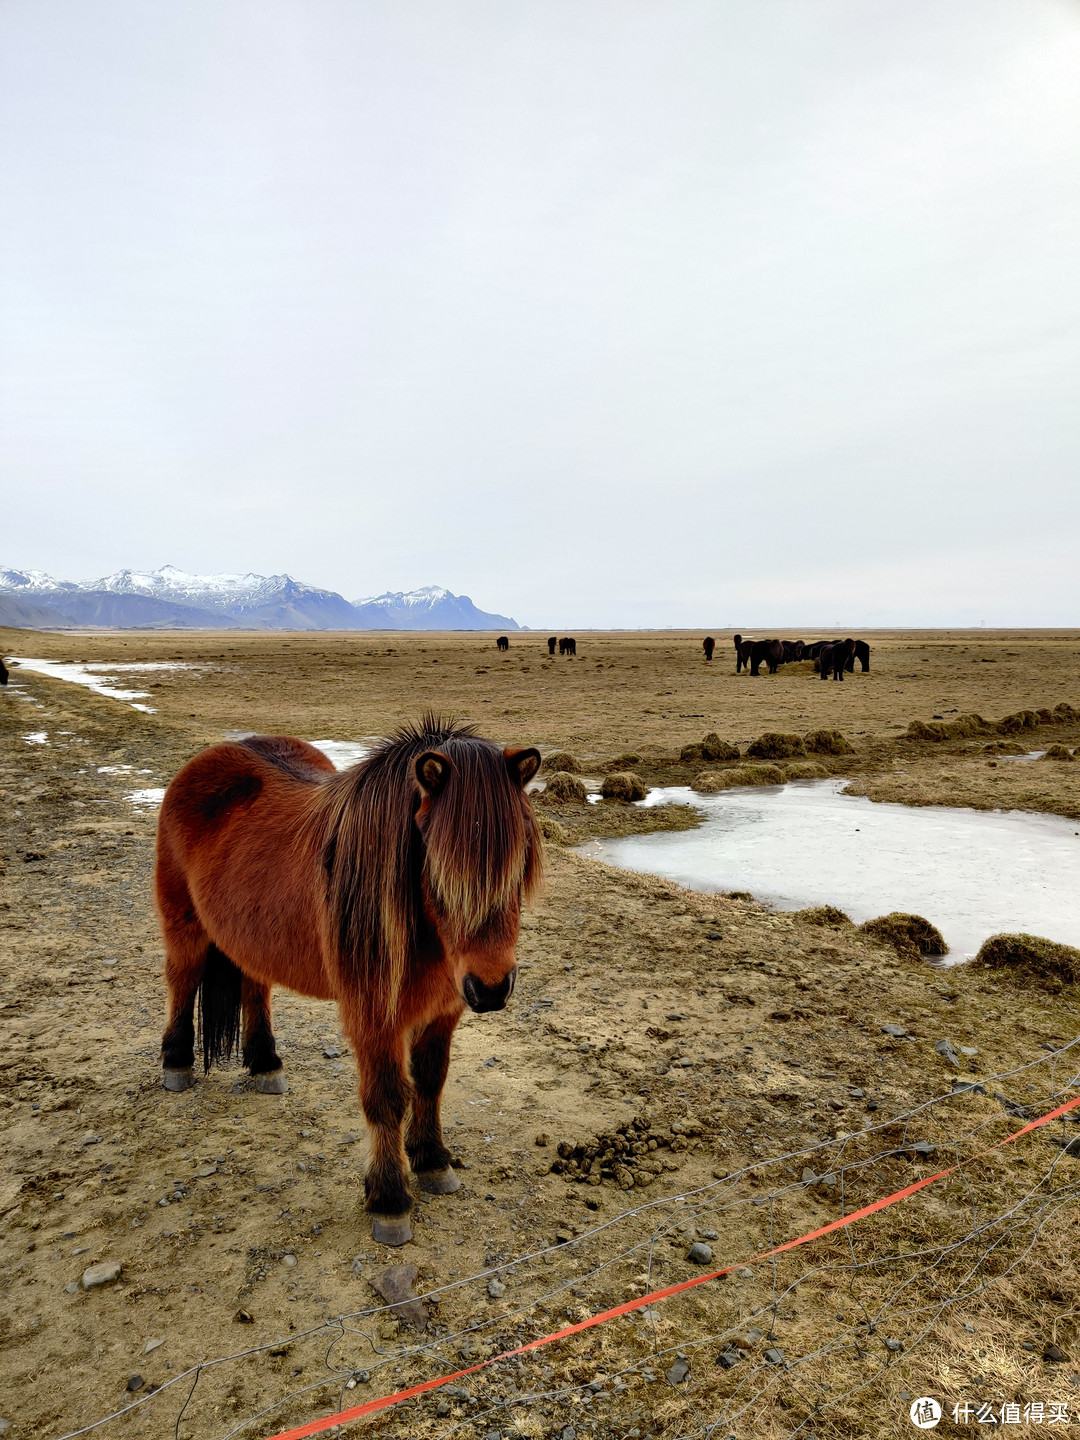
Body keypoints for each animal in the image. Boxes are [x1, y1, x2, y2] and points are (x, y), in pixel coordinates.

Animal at [156, 714, 544, 1244]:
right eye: (435, 862)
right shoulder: (374, 1014)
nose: (490, 988)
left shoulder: (443, 1009)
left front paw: (432, 1160)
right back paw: (176, 1062)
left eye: (521, 853)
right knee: (181, 980)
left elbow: (431, 1081)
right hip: (186, 927)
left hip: (250, 937)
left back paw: (265, 1064)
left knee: (255, 988)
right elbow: (386, 1098)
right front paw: (390, 1199)